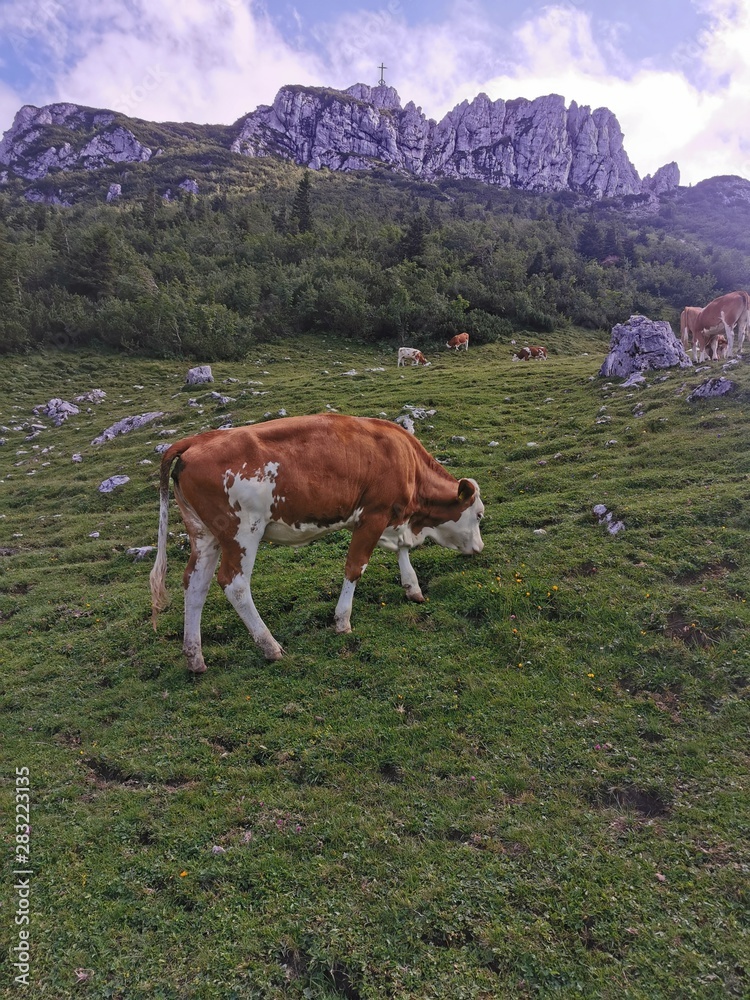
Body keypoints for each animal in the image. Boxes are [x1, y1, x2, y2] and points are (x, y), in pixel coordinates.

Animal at [151, 414, 488, 672]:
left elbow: (403, 552)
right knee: (234, 584)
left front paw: (413, 588)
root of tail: (196, 441)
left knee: (195, 585)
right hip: (242, 532)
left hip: (204, 535)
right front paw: (342, 621)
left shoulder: (394, 517)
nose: (480, 548)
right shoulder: (373, 516)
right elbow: (355, 568)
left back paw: (195, 658)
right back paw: (270, 646)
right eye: (479, 514)